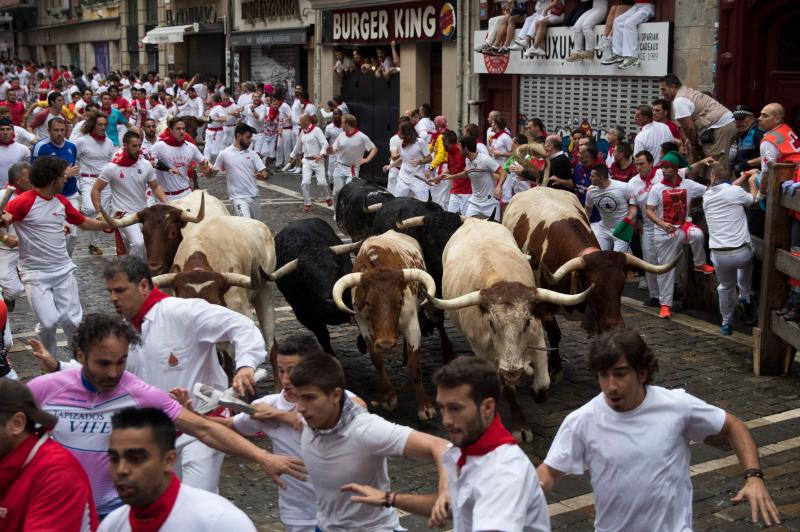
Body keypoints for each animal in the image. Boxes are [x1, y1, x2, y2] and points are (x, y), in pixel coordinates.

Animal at [332, 231, 438, 422]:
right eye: (368, 302)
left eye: (399, 301)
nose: (387, 344)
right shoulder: (363, 323)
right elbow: (377, 359)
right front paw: (387, 396)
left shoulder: (412, 324)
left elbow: (414, 367)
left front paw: (425, 406)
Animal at [424, 218, 592, 442]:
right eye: (491, 324)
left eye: (527, 322)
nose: (512, 371)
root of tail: (473, 220)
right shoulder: (484, 353)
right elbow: (508, 389)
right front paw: (520, 425)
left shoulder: (537, 340)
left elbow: (543, 384)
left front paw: (536, 390)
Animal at [504, 186, 680, 378]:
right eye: (592, 285)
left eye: (621, 284)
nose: (616, 326)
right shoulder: (546, 303)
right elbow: (554, 333)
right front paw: (556, 368)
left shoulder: (600, 313)